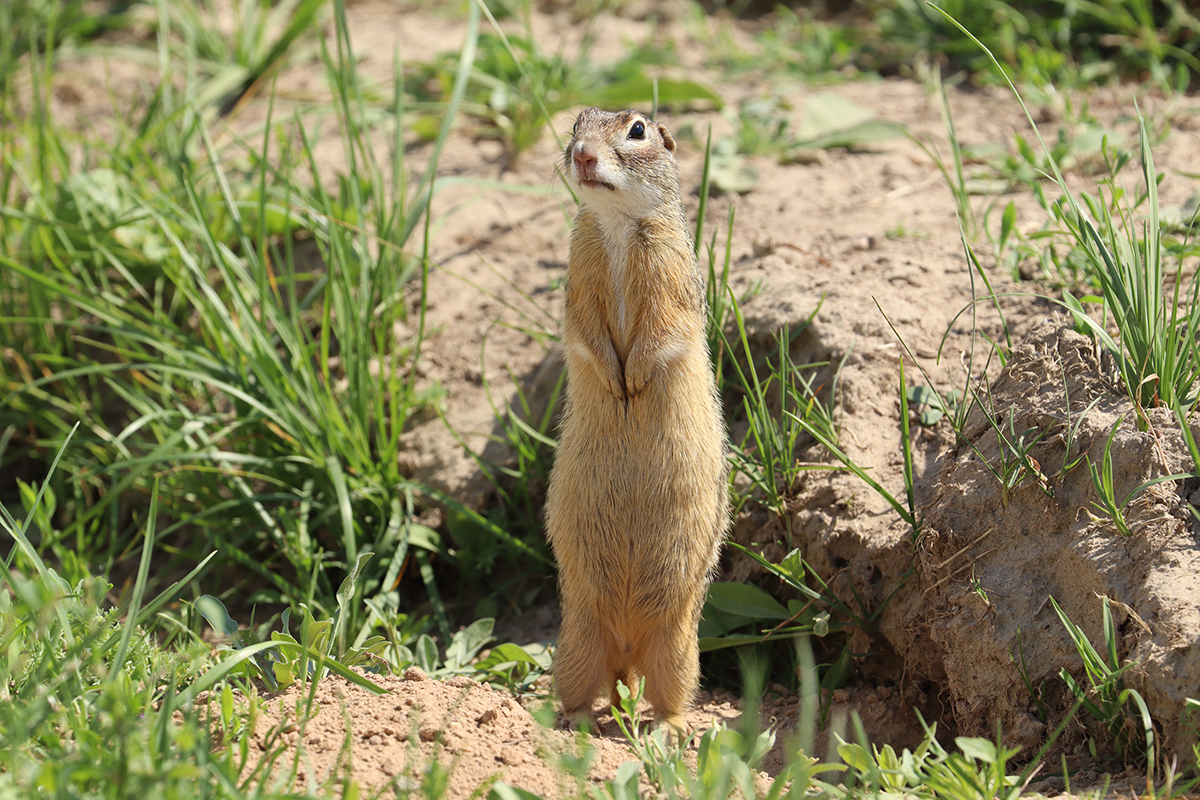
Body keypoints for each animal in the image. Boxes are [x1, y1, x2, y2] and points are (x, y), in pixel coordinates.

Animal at [547, 107, 729, 738]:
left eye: (638, 129)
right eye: (575, 123)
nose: (581, 153)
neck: (619, 226)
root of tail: (626, 646)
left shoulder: (671, 272)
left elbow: (663, 331)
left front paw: (635, 381)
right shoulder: (580, 270)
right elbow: (585, 331)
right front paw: (615, 382)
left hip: (678, 646)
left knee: (667, 694)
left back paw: (670, 730)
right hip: (575, 638)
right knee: (589, 688)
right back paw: (575, 723)